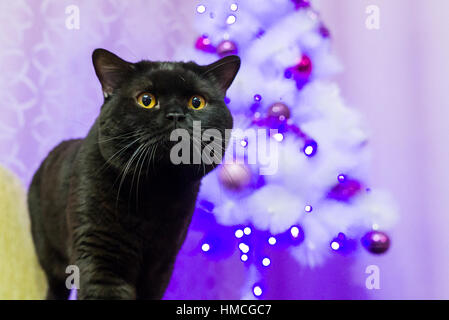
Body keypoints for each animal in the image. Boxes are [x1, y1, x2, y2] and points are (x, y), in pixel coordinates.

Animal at [28, 48, 240, 298]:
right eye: (146, 100)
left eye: (197, 102)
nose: (175, 115)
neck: (154, 192)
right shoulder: (100, 253)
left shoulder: (163, 263)